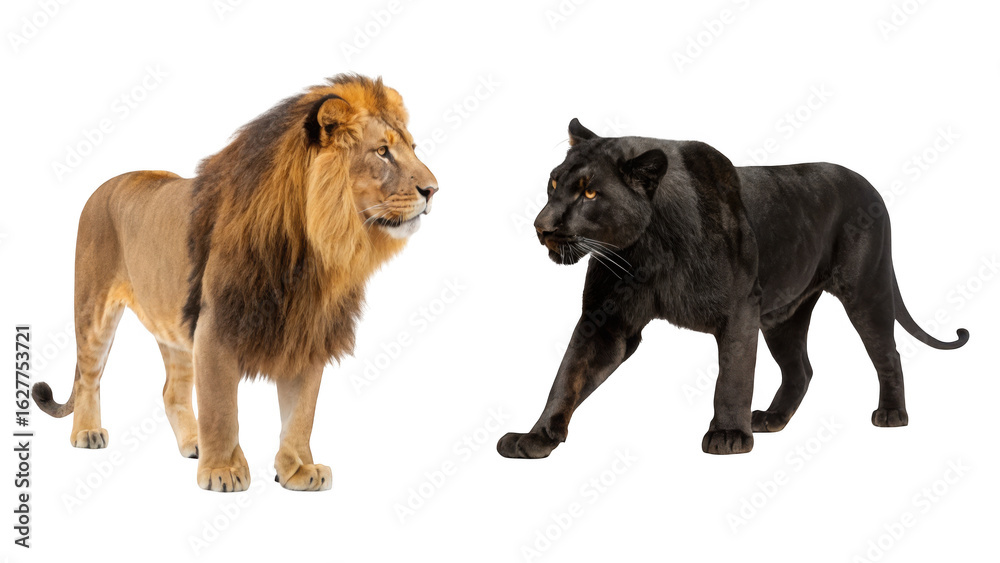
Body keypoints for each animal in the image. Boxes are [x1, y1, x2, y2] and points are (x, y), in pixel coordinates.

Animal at [32, 74, 438, 492]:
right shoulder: (215, 325)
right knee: (89, 376)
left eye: (412, 148)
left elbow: (301, 413)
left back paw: (194, 443)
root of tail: (107, 184)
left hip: (173, 325)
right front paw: (223, 471)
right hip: (93, 308)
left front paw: (298, 469)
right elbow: (221, 407)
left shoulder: (306, 333)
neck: (315, 247)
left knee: (171, 391)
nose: (433, 190)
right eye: (382, 152)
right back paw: (88, 433)